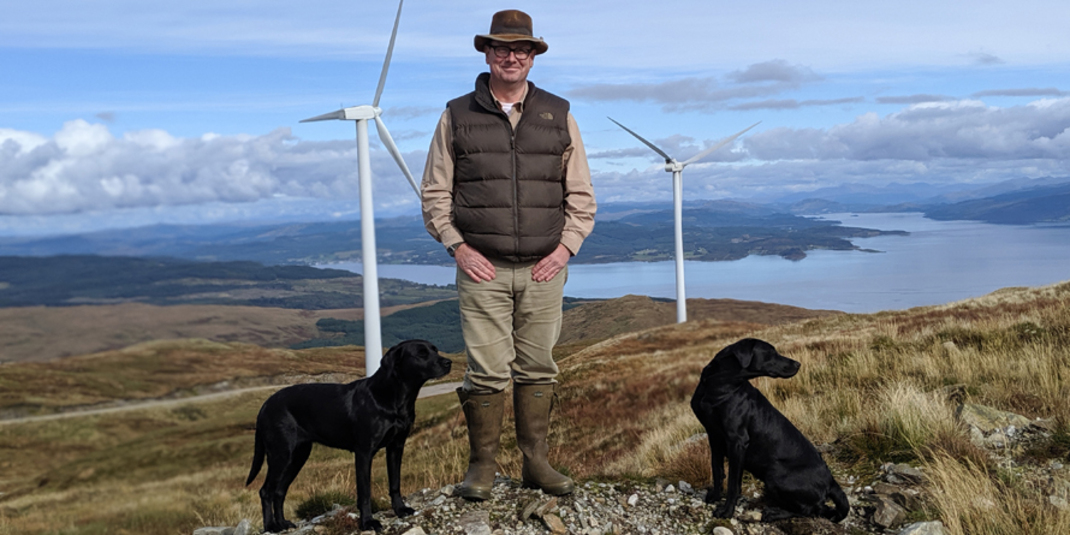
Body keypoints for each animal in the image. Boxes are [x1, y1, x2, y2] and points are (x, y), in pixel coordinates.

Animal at [246, 340, 451, 532]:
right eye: (421, 354)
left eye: (435, 350)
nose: (448, 362)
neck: (393, 396)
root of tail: (265, 406)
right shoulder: (364, 452)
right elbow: (365, 491)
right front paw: (368, 522)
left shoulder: (396, 446)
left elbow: (395, 482)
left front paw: (400, 510)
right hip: (281, 454)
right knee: (266, 491)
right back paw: (271, 526)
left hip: (298, 456)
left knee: (279, 491)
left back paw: (282, 523)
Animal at [689, 338, 847, 522]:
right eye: (771, 353)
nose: (798, 363)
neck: (720, 383)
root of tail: (831, 481)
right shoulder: (714, 436)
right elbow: (717, 470)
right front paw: (715, 496)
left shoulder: (737, 441)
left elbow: (733, 484)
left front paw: (726, 512)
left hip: (774, 474)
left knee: (810, 510)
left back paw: (774, 513)